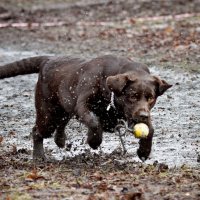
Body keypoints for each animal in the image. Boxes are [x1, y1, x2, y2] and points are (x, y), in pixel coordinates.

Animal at [0, 54, 172, 161]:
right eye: (133, 96)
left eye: (150, 98)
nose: (143, 115)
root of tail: (47, 60)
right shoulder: (82, 105)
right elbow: (94, 121)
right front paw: (94, 141)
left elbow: (150, 130)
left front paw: (144, 151)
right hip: (48, 114)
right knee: (37, 131)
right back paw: (39, 156)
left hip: (63, 108)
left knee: (62, 123)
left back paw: (60, 140)